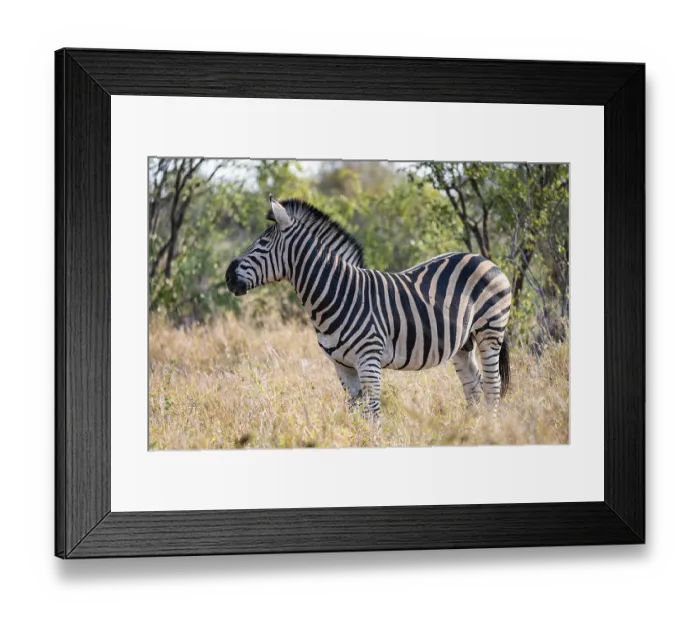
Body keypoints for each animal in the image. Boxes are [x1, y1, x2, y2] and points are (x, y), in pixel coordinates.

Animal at [226, 195, 511, 418]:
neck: (337, 294)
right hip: (463, 343)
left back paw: (490, 428)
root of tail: (484, 259)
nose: (228, 276)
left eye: (262, 244)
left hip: (490, 332)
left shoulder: (369, 360)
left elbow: (372, 412)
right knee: (473, 385)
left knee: (493, 385)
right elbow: (356, 412)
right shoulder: (342, 366)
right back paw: (471, 428)